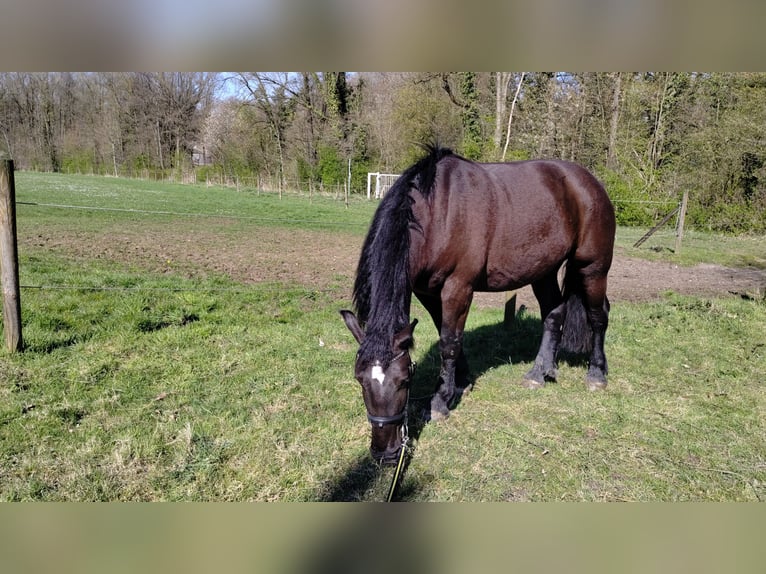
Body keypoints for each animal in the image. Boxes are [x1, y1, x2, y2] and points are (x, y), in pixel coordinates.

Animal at [341, 146, 615, 464]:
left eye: (404, 380)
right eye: (359, 379)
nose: (385, 453)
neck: (437, 214)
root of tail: (589, 182)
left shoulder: (458, 287)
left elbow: (449, 341)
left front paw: (440, 401)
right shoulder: (428, 292)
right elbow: (446, 334)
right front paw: (462, 381)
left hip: (592, 267)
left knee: (598, 316)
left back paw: (596, 374)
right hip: (543, 270)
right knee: (553, 314)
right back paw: (541, 372)